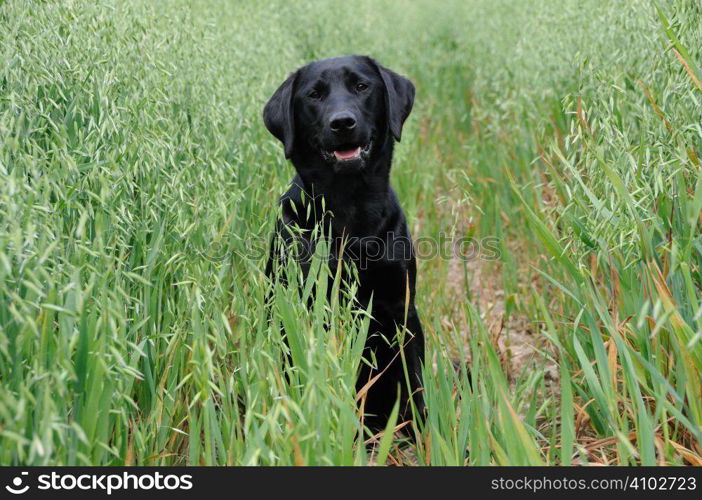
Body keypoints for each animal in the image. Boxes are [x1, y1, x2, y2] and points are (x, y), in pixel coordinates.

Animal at [262, 54, 420, 434]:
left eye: (362, 86)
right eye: (314, 95)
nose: (342, 122)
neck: (351, 213)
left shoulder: (401, 310)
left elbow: (415, 386)